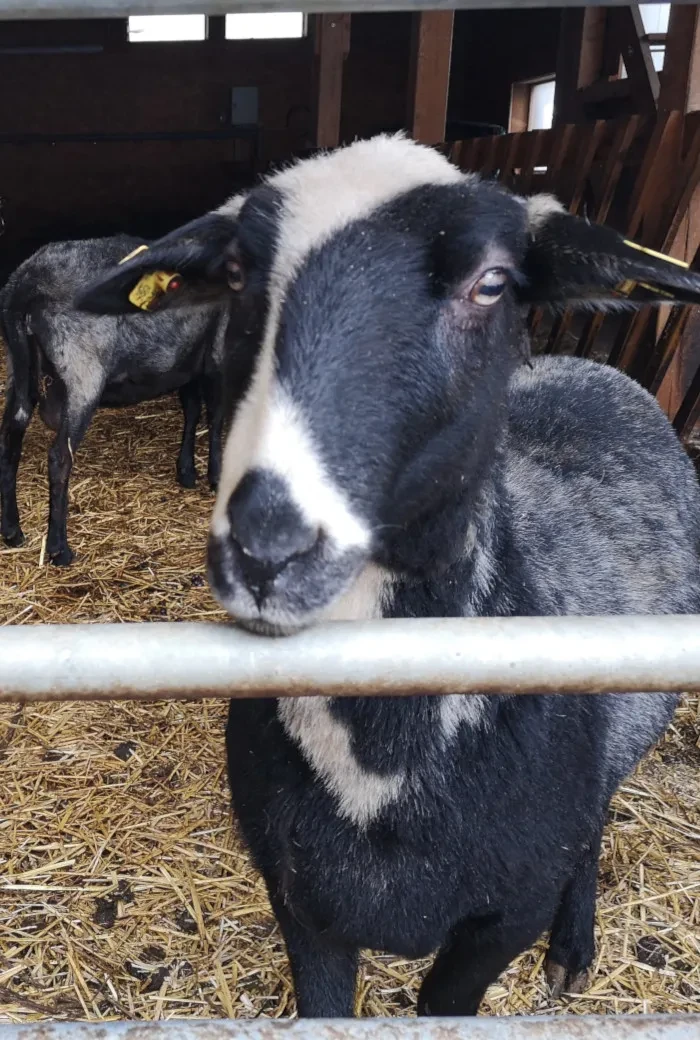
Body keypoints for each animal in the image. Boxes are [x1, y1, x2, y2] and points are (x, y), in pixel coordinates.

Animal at [0, 235, 228, 565]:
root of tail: (25, 286)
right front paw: (216, 477)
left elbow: (192, 409)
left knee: (10, 442)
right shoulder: (218, 353)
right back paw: (59, 548)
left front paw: (186, 471)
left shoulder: (190, 359)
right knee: (59, 457)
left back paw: (12, 531)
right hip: (82, 375)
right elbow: (216, 416)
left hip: (19, 368)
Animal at [79, 136, 698, 1015]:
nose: (267, 546)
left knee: (596, 819)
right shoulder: (300, 900)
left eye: (492, 283)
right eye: (234, 273)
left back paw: (573, 949)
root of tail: (589, 369)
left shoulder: (501, 922)